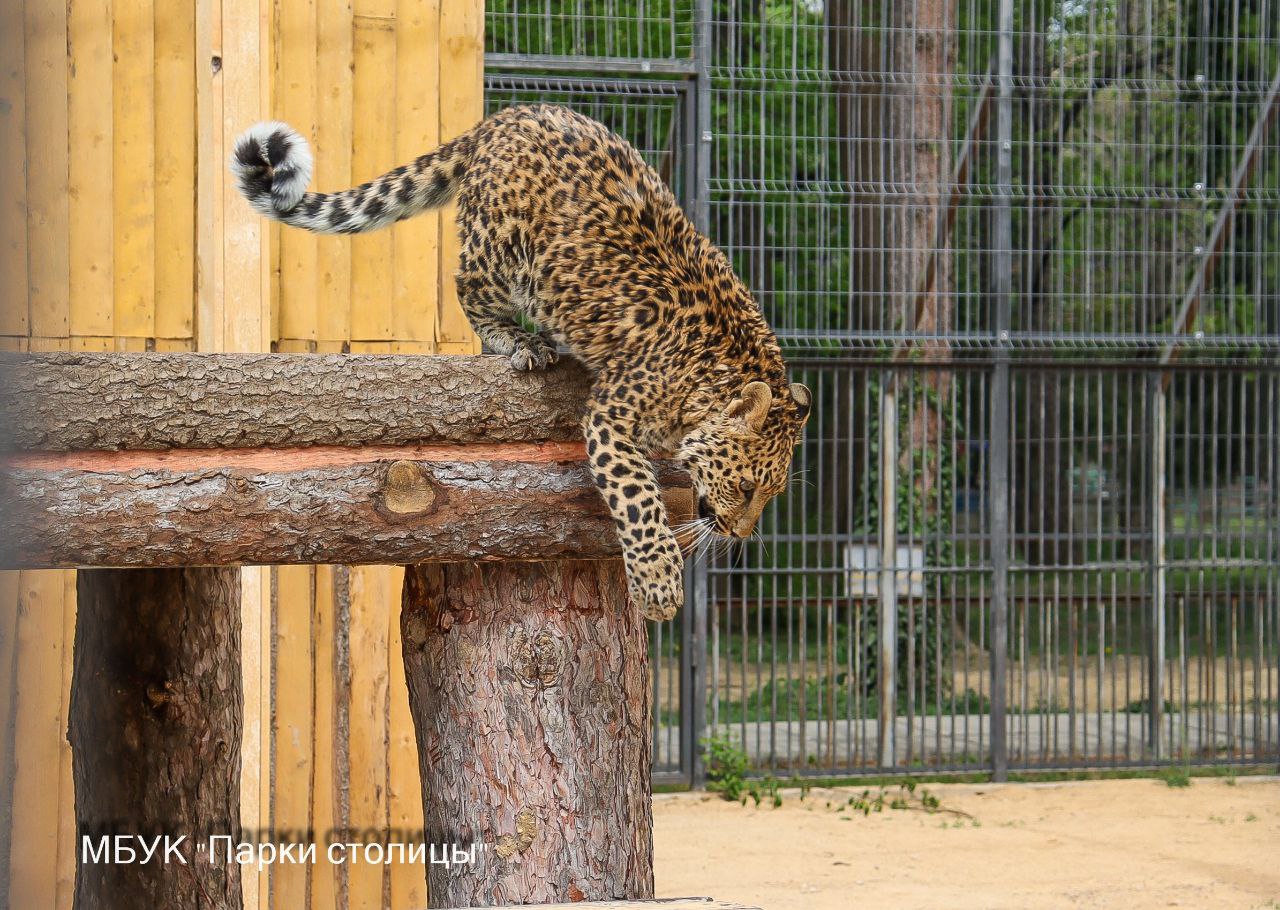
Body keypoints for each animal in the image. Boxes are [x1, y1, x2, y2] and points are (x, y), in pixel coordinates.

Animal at [230, 103, 808, 622]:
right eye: (747, 486)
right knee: (467, 287)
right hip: (501, 251)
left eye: (772, 492)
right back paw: (520, 342)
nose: (737, 533)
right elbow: (639, 499)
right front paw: (660, 585)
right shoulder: (612, 419)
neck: (713, 371)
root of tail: (504, 117)